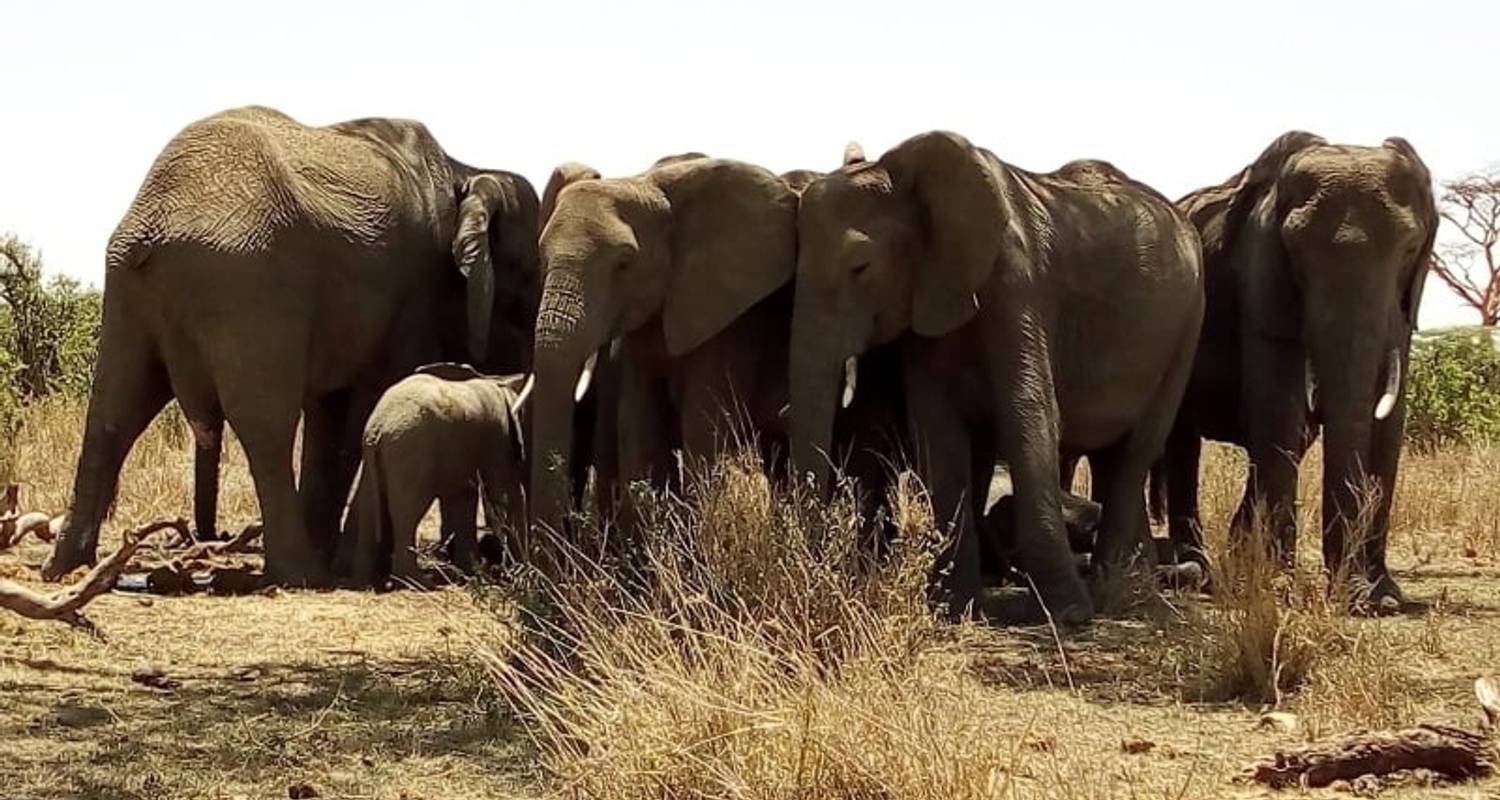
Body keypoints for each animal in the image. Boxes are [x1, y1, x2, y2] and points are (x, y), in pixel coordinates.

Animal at [345, 364, 528, 582]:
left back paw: (364, 577)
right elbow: (501, 493)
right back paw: (416, 581)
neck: (498, 382)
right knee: (408, 512)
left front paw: (471, 572)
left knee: (368, 507)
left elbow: (464, 497)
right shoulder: (498, 439)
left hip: (373, 459)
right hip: (410, 453)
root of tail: (377, 427)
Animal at [792, 131, 1200, 621]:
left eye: (861, 268)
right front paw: (950, 609)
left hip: (1187, 327)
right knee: (1113, 457)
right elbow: (938, 429)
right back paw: (1129, 580)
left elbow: (1029, 415)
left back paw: (1110, 592)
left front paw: (1068, 615)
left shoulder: (1017, 282)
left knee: (1136, 451)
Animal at [1152, 131, 1434, 612]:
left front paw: (1382, 599)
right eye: (1295, 254)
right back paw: (1197, 572)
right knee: (1183, 441)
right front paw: (1276, 589)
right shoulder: (1264, 279)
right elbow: (1278, 410)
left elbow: (1388, 425)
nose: (1348, 595)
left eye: (1411, 250)